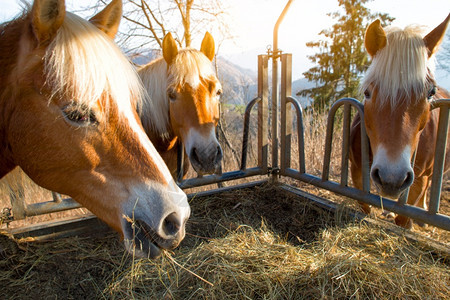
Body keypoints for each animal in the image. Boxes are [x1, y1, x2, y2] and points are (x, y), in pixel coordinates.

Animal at [348, 14, 450, 227]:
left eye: (431, 93)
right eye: (367, 92)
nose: (392, 178)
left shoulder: (419, 179)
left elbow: (404, 216)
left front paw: (409, 223)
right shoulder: (357, 169)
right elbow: (364, 205)